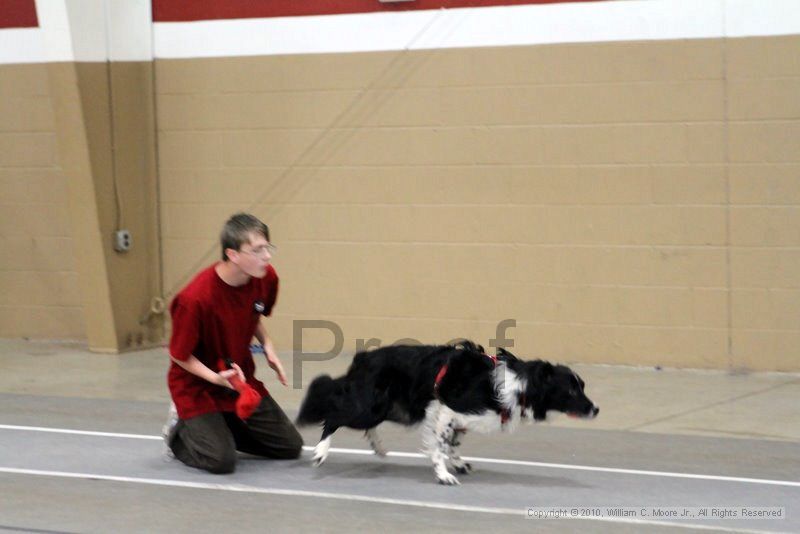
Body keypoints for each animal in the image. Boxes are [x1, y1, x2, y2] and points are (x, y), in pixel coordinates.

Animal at [296, 344, 596, 486]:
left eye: (582, 386)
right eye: (572, 390)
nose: (596, 409)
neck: (519, 384)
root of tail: (363, 359)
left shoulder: (455, 419)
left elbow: (451, 443)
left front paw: (458, 463)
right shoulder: (448, 411)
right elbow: (439, 447)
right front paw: (443, 475)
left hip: (391, 409)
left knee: (366, 424)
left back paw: (378, 446)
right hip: (369, 407)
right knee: (334, 416)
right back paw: (320, 452)